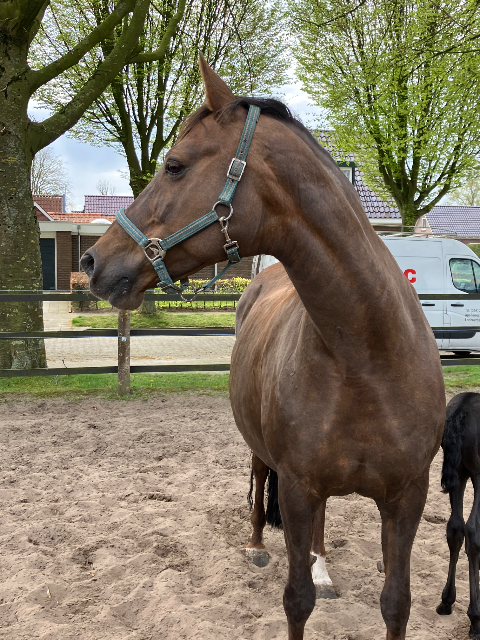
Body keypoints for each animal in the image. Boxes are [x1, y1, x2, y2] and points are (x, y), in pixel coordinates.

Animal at [80, 55, 445, 639]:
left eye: (175, 166)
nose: (93, 261)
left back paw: (323, 565)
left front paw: (328, 574)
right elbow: (296, 601)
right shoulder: (296, 489)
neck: (368, 356)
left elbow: (396, 602)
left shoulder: (406, 498)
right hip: (264, 453)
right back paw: (255, 544)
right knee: (257, 476)